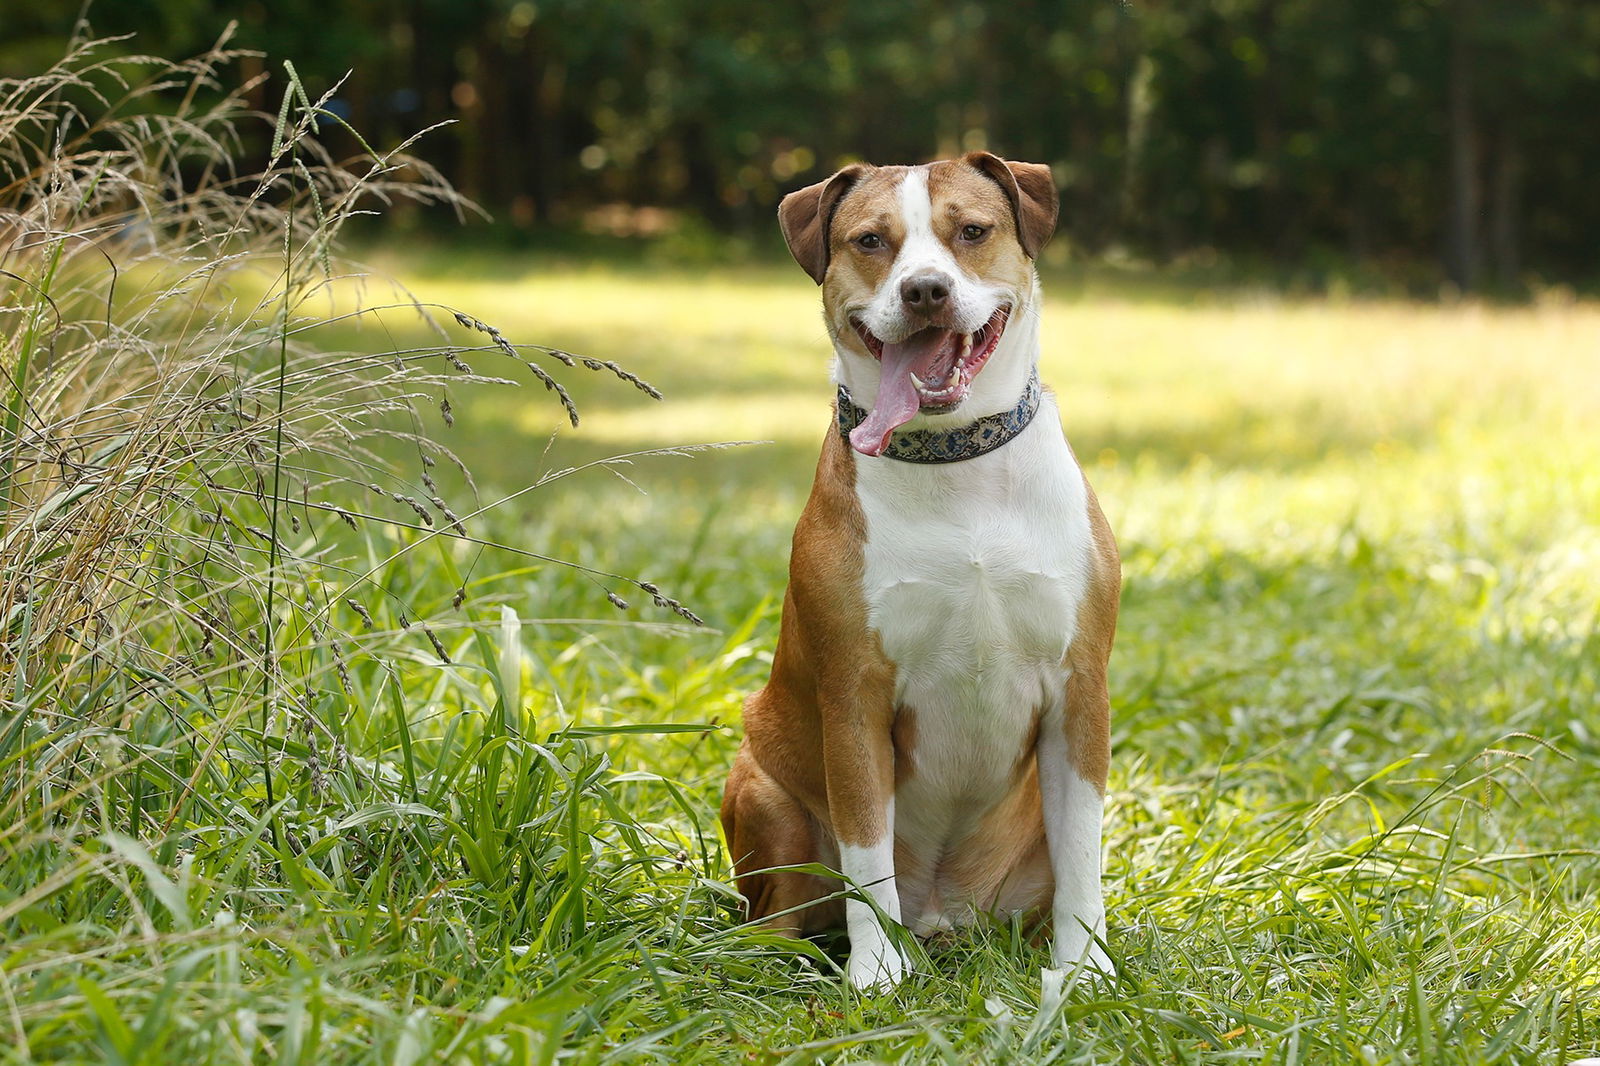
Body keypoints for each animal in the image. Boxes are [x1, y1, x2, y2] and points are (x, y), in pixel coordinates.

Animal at [720, 151, 1120, 985]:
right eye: (871, 240)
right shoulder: (855, 699)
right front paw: (876, 972)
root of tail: (943, 913)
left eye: (971, 231)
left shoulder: (1080, 691)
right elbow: (868, 854)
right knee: (781, 912)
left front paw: (1084, 969)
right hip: (764, 789)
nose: (925, 289)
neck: (955, 462)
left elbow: (1083, 854)